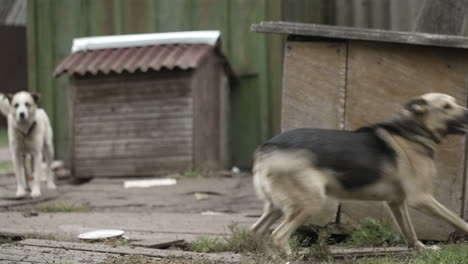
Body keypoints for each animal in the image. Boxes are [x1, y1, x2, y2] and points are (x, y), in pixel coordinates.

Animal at [252, 92, 468, 254]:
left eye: (455, 102)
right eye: (446, 106)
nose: (467, 111)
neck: (412, 132)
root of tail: (267, 147)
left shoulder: (397, 203)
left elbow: (410, 232)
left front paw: (421, 249)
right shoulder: (421, 198)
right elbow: (457, 219)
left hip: (278, 206)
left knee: (257, 230)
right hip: (308, 203)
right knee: (278, 235)